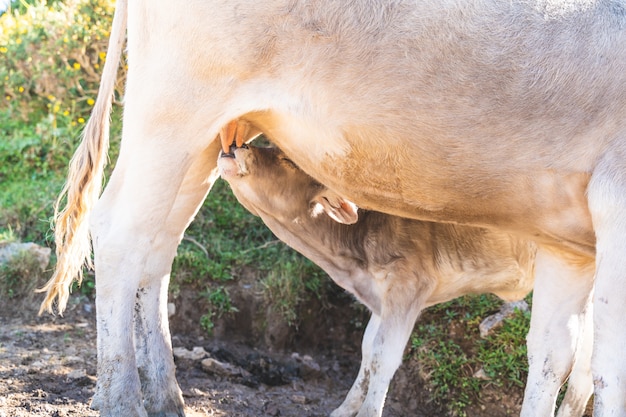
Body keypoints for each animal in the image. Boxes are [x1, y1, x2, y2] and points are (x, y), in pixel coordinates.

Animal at [218, 145, 588, 416]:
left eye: (285, 159)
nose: (236, 146)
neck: (348, 261)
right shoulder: (380, 300)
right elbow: (367, 349)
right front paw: (344, 410)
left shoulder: (408, 285)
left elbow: (383, 356)